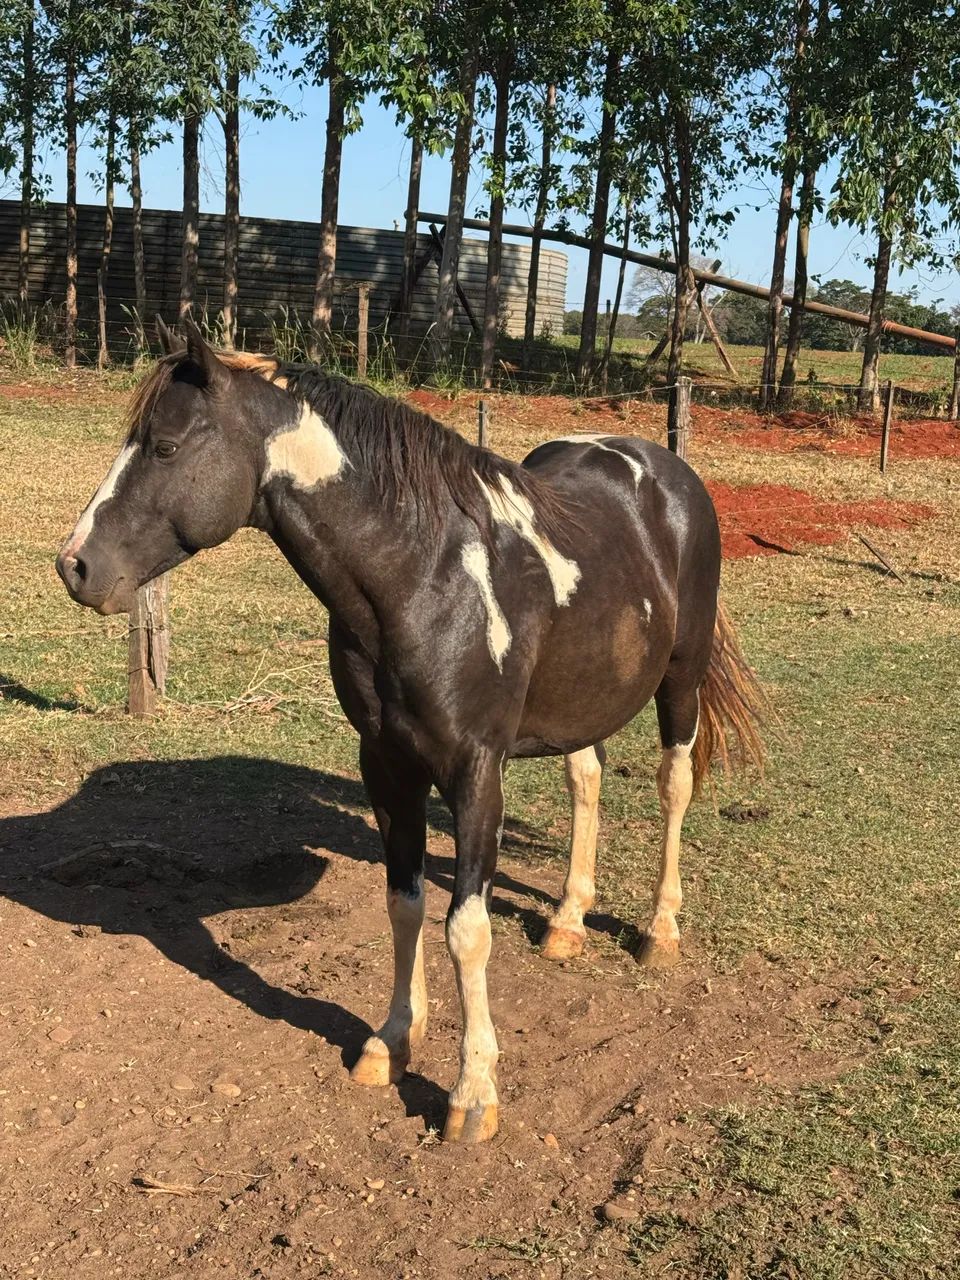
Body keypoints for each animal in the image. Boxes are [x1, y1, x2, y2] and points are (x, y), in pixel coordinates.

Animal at [56, 319, 765, 1144]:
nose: (75, 565)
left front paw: (472, 1092)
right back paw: (566, 922)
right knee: (586, 778)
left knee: (674, 785)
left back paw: (659, 930)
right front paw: (392, 1042)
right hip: (585, 696)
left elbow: (468, 929)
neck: (426, 576)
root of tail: (667, 471)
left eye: (166, 446)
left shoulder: (475, 771)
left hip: (680, 680)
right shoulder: (387, 764)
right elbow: (405, 903)